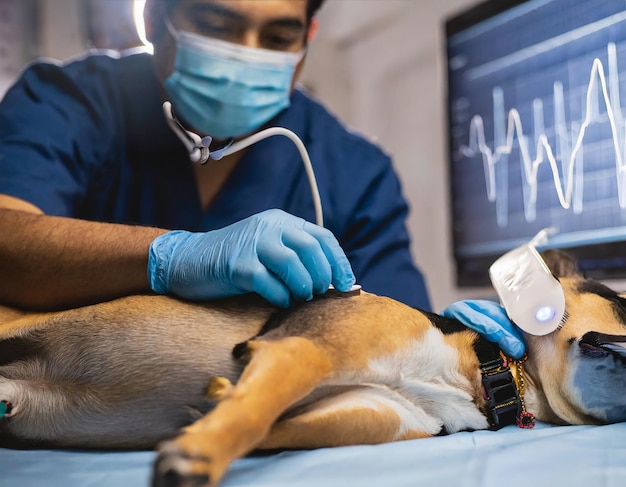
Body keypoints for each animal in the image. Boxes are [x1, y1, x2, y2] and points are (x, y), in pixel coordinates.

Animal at [1, 250, 624, 486]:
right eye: (620, 301)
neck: (484, 367)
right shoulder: (301, 351)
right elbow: (251, 416)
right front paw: (199, 455)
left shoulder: (365, 411)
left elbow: (262, 424)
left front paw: (208, 413)